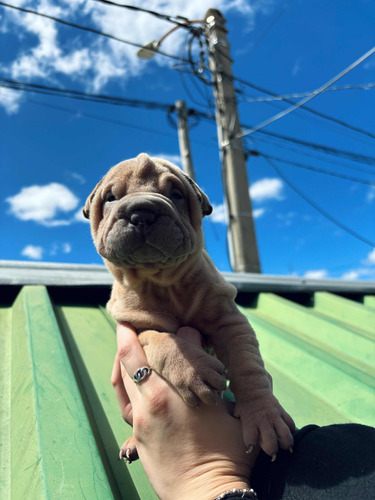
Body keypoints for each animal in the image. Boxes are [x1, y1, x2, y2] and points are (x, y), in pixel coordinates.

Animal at [83, 151, 296, 460]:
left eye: (175, 194)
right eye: (111, 197)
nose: (141, 212)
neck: (162, 282)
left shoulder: (230, 322)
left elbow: (248, 366)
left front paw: (264, 416)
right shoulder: (134, 324)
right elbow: (160, 340)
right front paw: (192, 371)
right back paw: (133, 441)